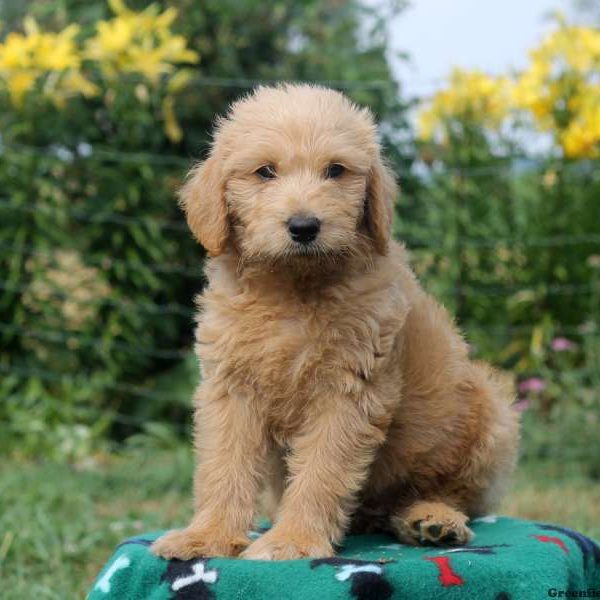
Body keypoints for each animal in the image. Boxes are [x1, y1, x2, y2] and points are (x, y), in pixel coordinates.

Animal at [151, 82, 520, 560]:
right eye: (265, 172)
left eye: (336, 171)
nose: (304, 226)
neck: (295, 286)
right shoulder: (231, 387)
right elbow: (224, 465)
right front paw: (207, 536)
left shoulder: (348, 389)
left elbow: (322, 469)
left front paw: (291, 540)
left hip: (490, 416)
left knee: (454, 492)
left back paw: (432, 519)